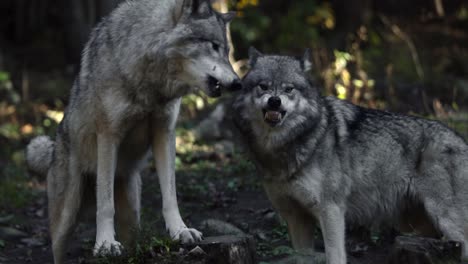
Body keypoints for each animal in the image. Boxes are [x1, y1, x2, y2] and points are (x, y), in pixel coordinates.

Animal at [24, 0, 241, 262]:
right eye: (214, 46)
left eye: (227, 51)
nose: (238, 83)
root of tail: (54, 149)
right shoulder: (108, 135)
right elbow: (105, 203)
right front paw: (105, 244)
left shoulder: (164, 133)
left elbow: (170, 194)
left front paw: (180, 231)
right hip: (65, 218)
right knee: (59, 249)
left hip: (132, 215)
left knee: (132, 240)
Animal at [234, 48, 468, 264]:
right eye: (263, 86)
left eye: (288, 89)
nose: (274, 101)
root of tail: (461, 140)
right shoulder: (296, 218)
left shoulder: (331, 211)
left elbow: (335, 256)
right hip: (420, 224)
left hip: (444, 220)